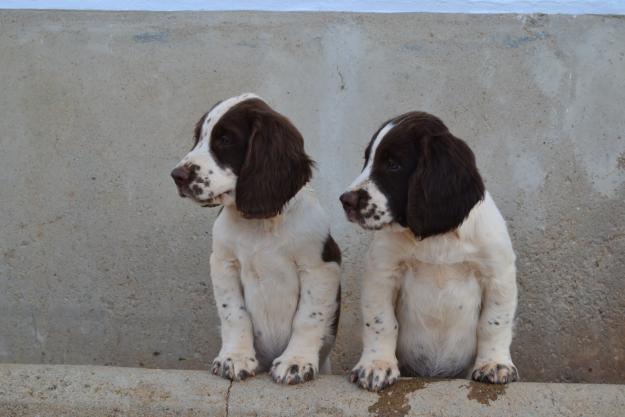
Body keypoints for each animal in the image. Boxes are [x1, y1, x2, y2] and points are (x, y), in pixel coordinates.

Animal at [171, 93, 342, 384]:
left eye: (225, 139)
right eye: (198, 137)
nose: (177, 176)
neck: (260, 223)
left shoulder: (321, 266)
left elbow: (308, 317)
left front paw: (296, 362)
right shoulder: (223, 263)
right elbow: (234, 314)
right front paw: (235, 358)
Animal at [338, 110, 520, 390]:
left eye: (393, 164)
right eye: (367, 159)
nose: (345, 201)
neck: (437, 238)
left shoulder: (498, 274)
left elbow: (494, 323)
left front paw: (494, 364)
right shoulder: (382, 273)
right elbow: (380, 322)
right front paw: (376, 365)